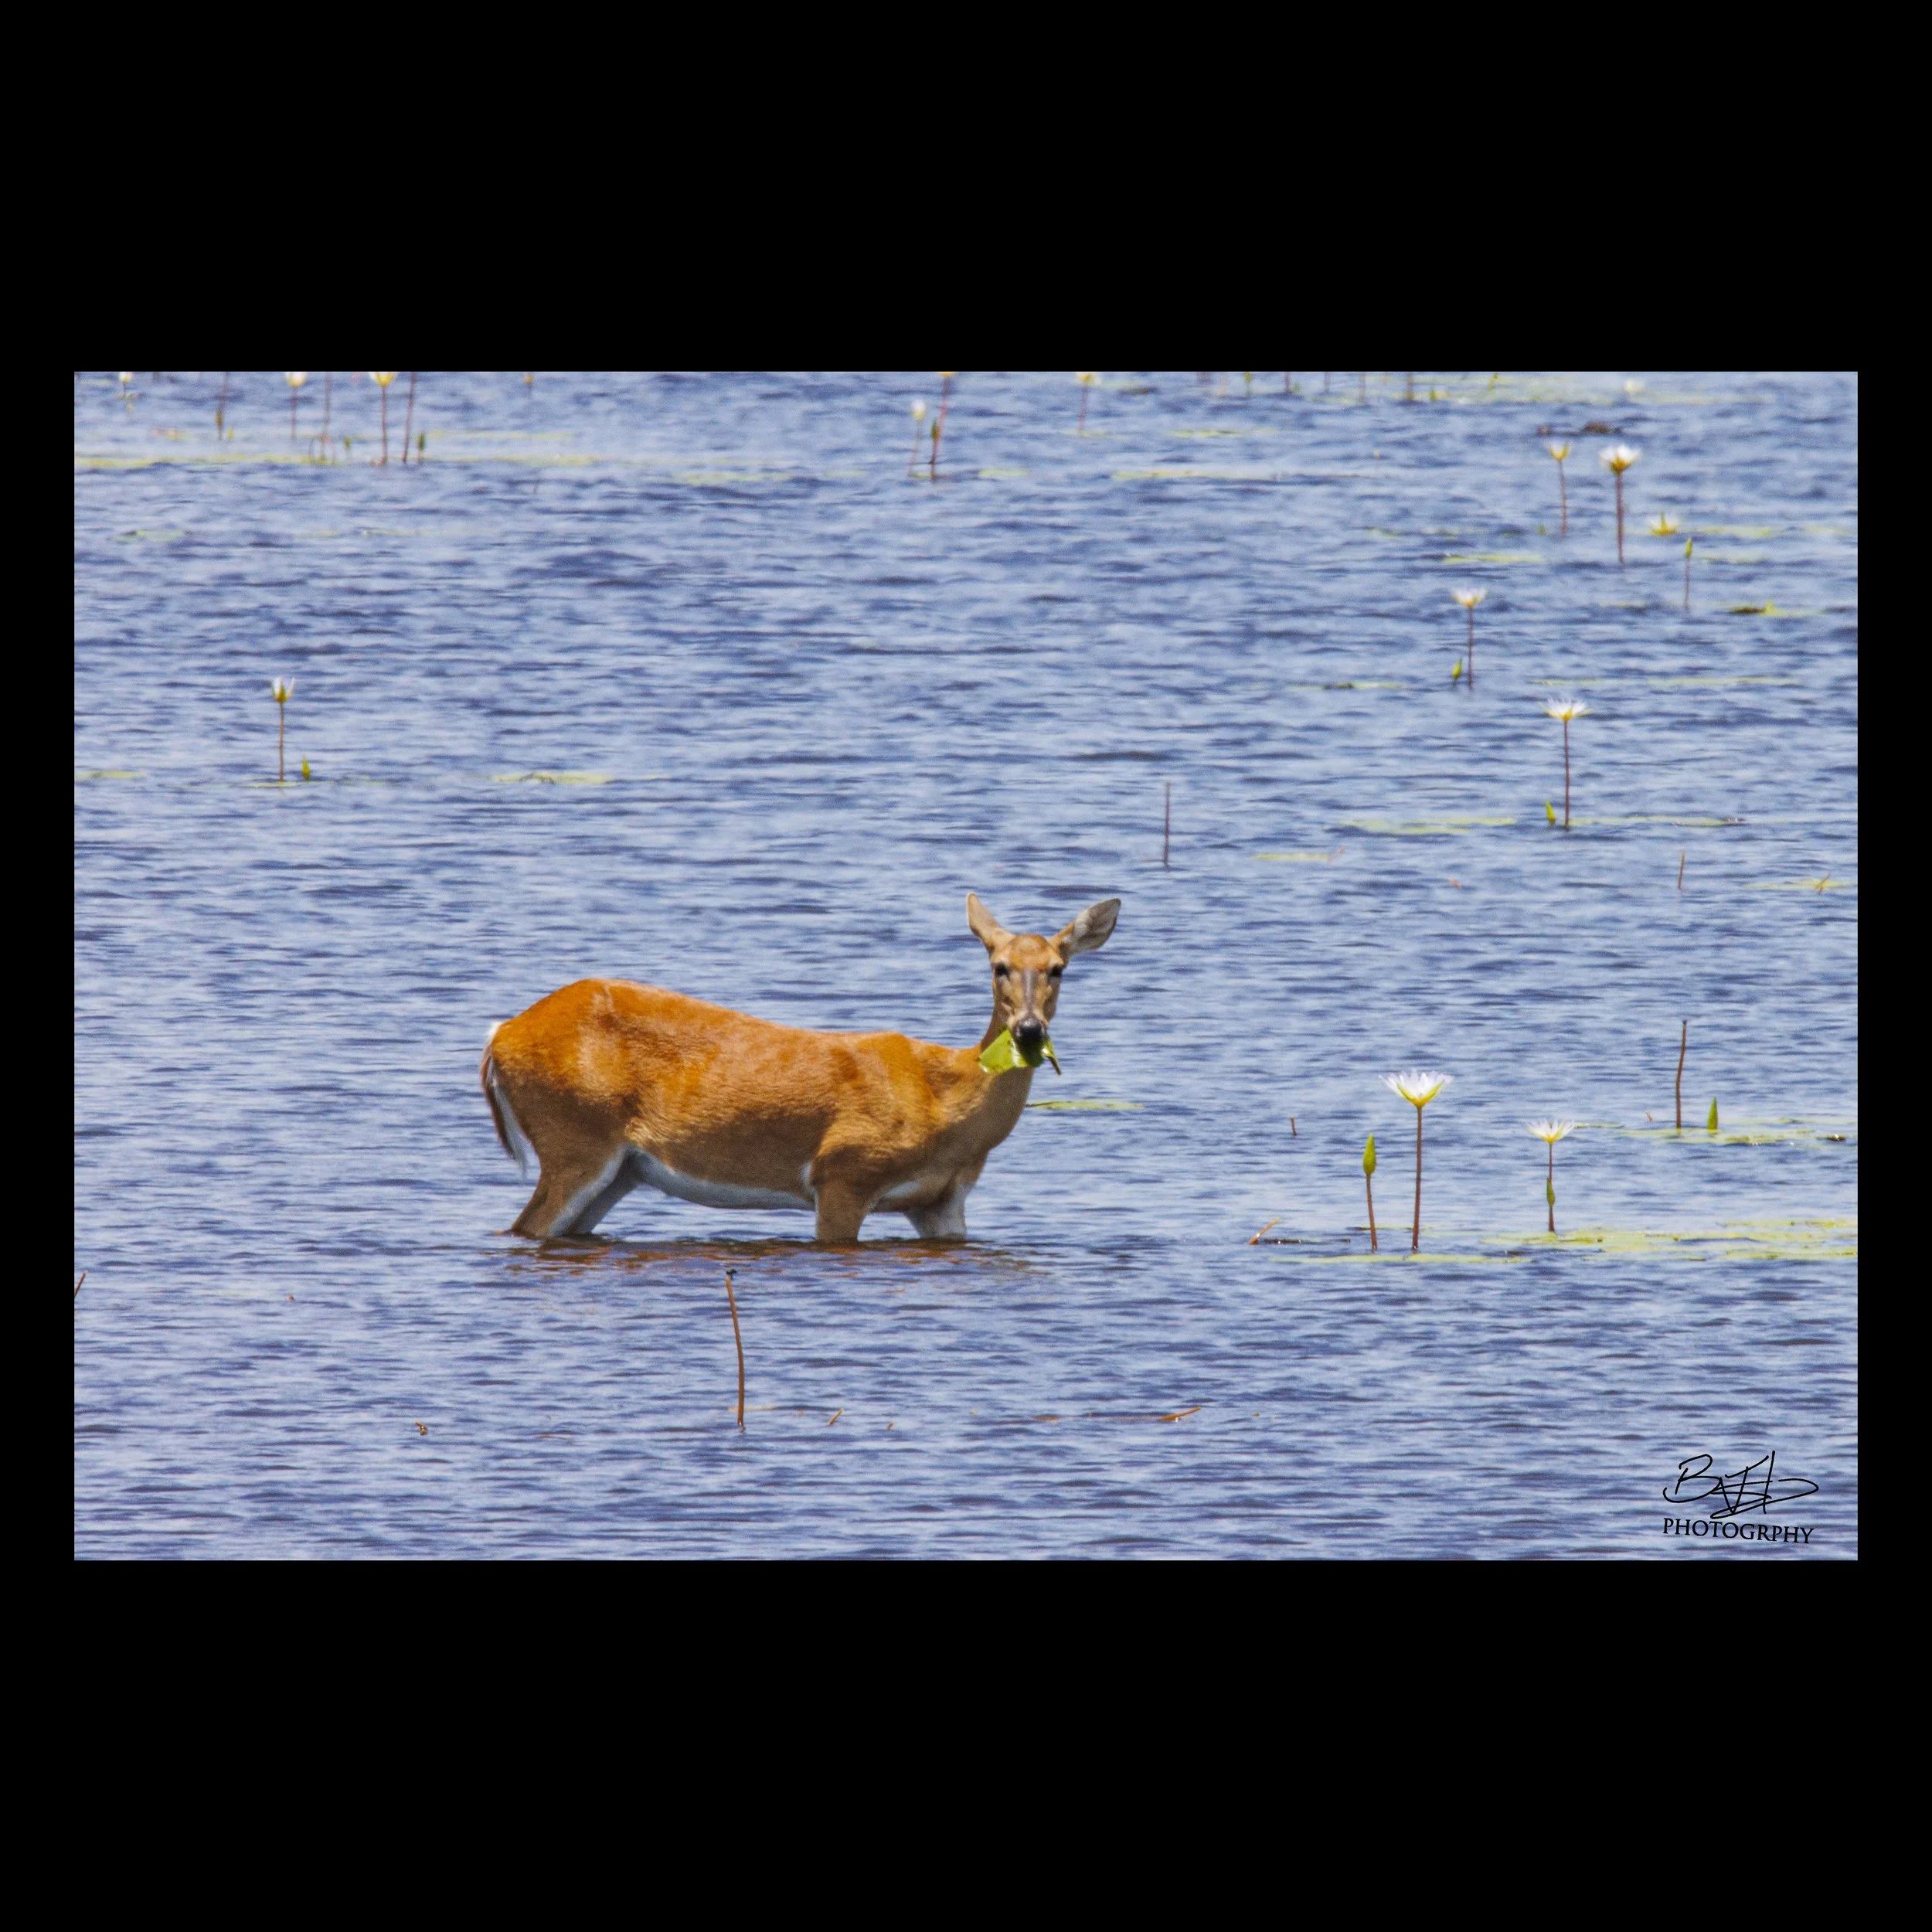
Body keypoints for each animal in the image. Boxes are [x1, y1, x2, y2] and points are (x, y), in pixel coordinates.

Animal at [480, 893, 1120, 1243]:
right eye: (999, 965)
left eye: (1059, 967)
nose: (1029, 1031)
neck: (947, 1105)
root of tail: (500, 1035)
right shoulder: (843, 1172)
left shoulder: (944, 1202)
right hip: (575, 1135)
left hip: (618, 1172)